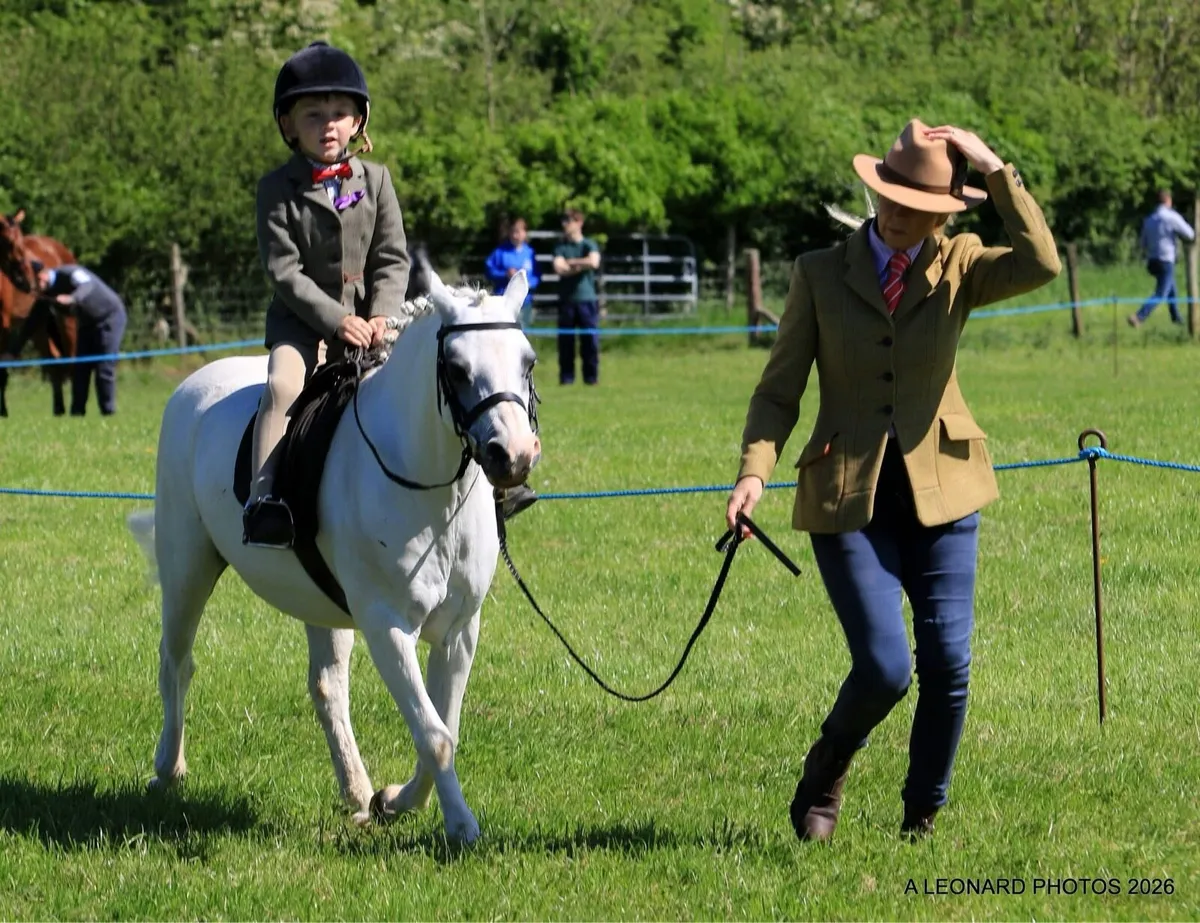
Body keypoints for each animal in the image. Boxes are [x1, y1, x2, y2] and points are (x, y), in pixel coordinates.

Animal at [0, 210, 78, 416]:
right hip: (38, 328)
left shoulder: (3, 326)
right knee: (53, 361)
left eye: (20, 240)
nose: (28, 279)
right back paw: (59, 410)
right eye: (7, 241)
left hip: (66, 318)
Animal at [126, 270, 540, 844]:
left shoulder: (460, 630)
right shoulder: (388, 626)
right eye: (457, 369)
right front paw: (459, 827)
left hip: (319, 604)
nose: (514, 456)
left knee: (328, 689)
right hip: (188, 566)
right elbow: (434, 734)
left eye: (528, 362)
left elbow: (444, 727)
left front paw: (391, 801)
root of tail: (195, 384)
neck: (430, 487)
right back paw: (168, 770)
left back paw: (357, 791)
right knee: (176, 663)